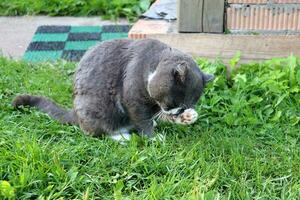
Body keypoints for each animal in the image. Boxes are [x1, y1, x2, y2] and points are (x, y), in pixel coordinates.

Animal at [12, 38, 213, 142]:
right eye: (174, 102)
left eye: (184, 106)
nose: (176, 112)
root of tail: (75, 112)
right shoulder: (133, 98)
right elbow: (143, 120)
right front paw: (153, 138)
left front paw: (188, 117)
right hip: (96, 110)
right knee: (97, 132)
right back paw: (123, 137)